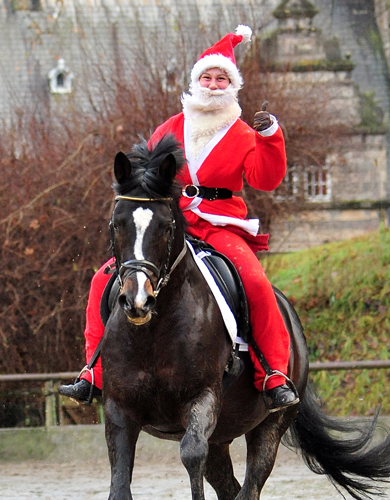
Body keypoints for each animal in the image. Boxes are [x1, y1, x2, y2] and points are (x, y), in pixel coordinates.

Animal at [100, 134, 390, 500]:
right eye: (116, 223)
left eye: (166, 227)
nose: (138, 300)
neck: (153, 332)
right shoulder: (119, 411)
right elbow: (119, 484)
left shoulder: (202, 399)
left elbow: (191, 454)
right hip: (222, 436)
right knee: (231, 486)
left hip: (269, 426)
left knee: (249, 485)